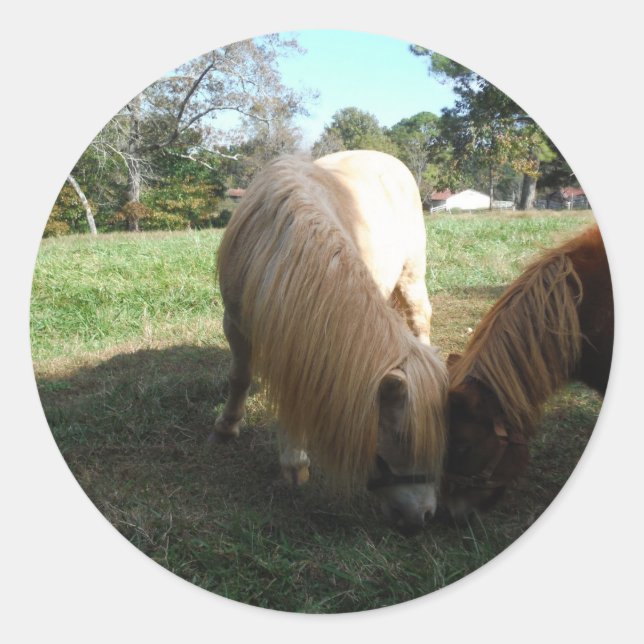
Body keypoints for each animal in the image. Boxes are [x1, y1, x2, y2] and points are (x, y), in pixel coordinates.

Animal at [211, 150, 448, 534]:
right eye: (399, 440)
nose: (422, 517)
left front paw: (293, 460)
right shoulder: (236, 324)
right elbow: (240, 378)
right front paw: (227, 427)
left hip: (412, 276)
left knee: (419, 319)